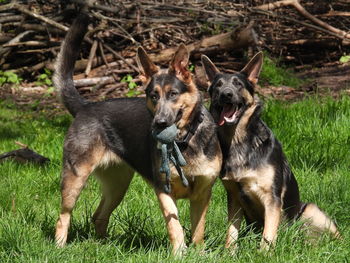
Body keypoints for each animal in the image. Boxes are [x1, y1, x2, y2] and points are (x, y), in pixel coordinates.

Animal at [53, 13, 220, 255]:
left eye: (173, 94)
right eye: (153, 96)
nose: (159, 124)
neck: (183, 141)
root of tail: (85, 107)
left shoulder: (202, 193)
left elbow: (198, 230)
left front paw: (198, 253)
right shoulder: (164, 190)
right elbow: (175, 226)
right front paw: (180, 253)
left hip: (118, 185)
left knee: (98, 216)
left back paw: (103, 246)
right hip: (75, 180)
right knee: (63, 216)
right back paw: (60, 247)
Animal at [201, 53, 340, 252]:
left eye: (238, 84)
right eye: (218, 85)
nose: (226, 94)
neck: (239, 141)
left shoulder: (272, 199)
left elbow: (268, 234)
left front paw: (263, 254)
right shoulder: (234, 198)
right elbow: (231, 233)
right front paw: (229, 253)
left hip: (310, 210)